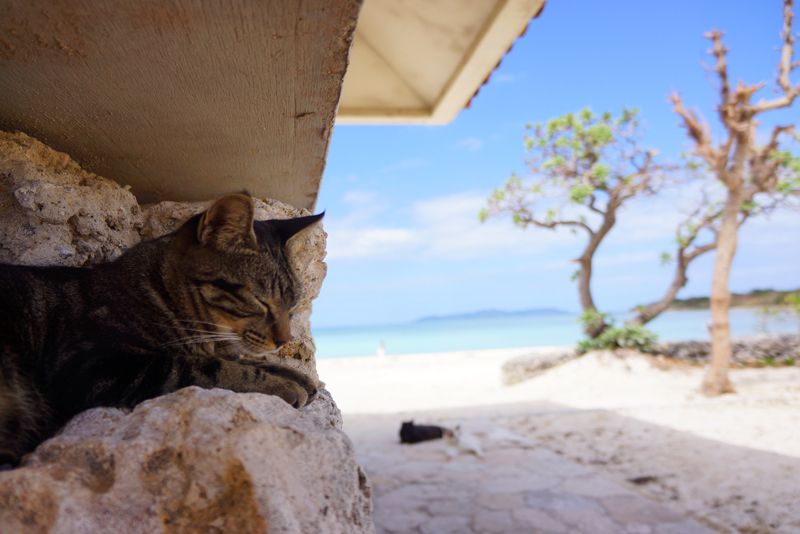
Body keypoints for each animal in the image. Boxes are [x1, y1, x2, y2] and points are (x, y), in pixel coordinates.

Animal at [0, 195, 322, 466]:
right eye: (260, 301)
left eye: (293, 306)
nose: (284, 341)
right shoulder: (94, 366)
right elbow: (209, 368)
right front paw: (282, 384)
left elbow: (241, 360)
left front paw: (296, 375)